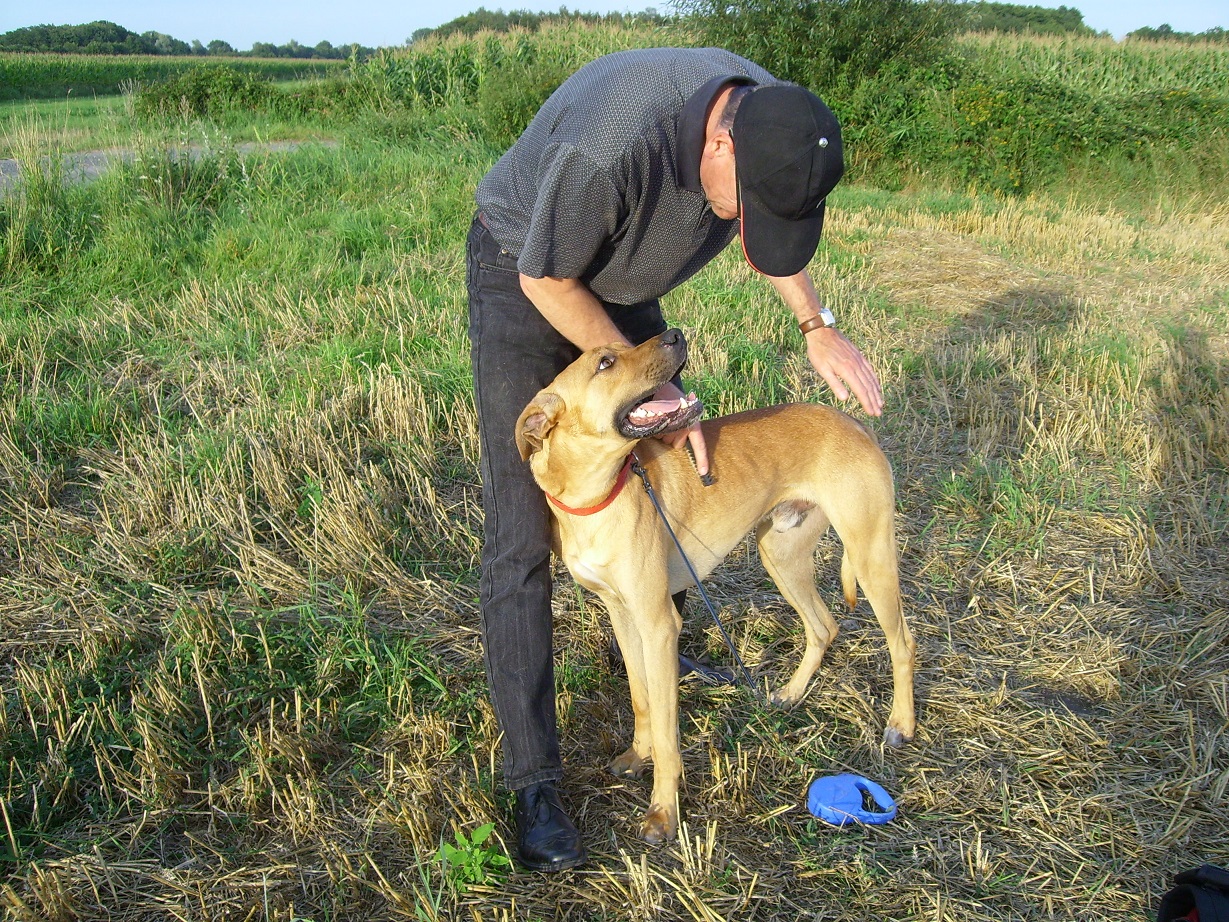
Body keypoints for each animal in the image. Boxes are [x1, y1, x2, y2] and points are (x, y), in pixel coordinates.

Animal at [511, 329, 914, 850]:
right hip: (781, 555)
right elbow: (641, 697)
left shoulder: (660, 624)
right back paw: (790, 694)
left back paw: (901, 724)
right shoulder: (623, 615)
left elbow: (667, 731)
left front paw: (662, 812)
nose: (675, 335)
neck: (597, 497)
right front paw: (636, 756)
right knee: (824, 627)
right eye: (604, 363)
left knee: (902, 641)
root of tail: (856, 424)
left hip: (869, 556)